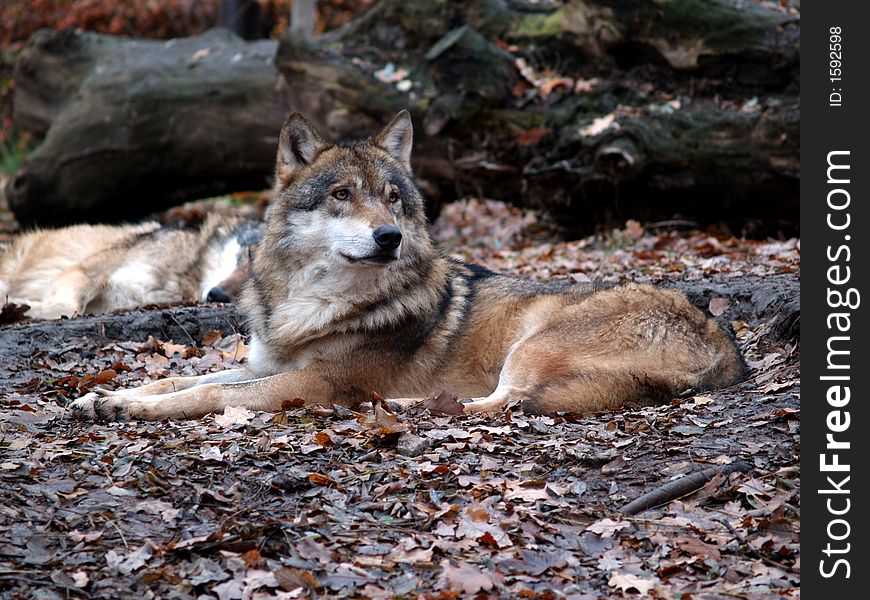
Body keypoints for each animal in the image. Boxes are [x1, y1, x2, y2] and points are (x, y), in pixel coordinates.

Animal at [71, 111, 744, 422]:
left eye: (393, 198)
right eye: (342, 195)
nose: (390, 236)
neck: (311, 306)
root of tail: (725, 349)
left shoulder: (313, 383)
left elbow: (204, 396)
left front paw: (134, 410)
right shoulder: (267, 367)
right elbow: (182, 381)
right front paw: (110, 397)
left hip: (532, 344)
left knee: (502, 402)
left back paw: (414, 406)